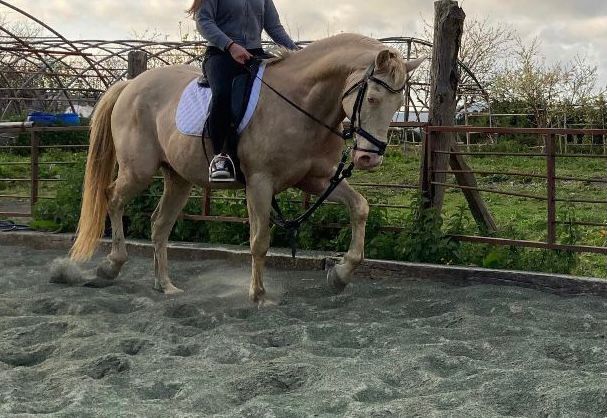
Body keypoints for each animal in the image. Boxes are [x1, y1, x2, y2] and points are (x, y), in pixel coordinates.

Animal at [69, 31, 426, 300]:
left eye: (398, 102)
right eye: (373, 98)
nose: (369, 158)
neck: (301, 104)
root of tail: (130, 85)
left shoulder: (316, 180)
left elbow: (360, 207)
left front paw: (340, 274)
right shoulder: (259, 183)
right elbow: (260, 240)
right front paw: (258, 295)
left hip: (178, 179)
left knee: (159, 224)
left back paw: (165, 286)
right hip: (138, 171)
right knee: (113, 199)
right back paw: (111, 265)